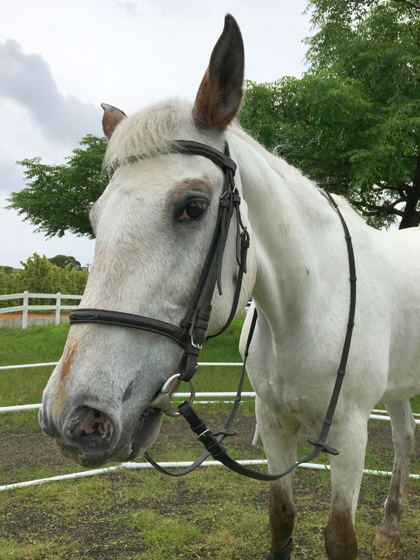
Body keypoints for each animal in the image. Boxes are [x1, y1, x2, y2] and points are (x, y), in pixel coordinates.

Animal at [40, 14, 420, 560]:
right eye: (95, 216)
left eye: (193, 208)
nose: (73, 417)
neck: (307, 308)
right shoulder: (275, 422)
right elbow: (281, 519)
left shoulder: (348, 432)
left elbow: (339, 537)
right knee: (407, 437)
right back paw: (389, 526)